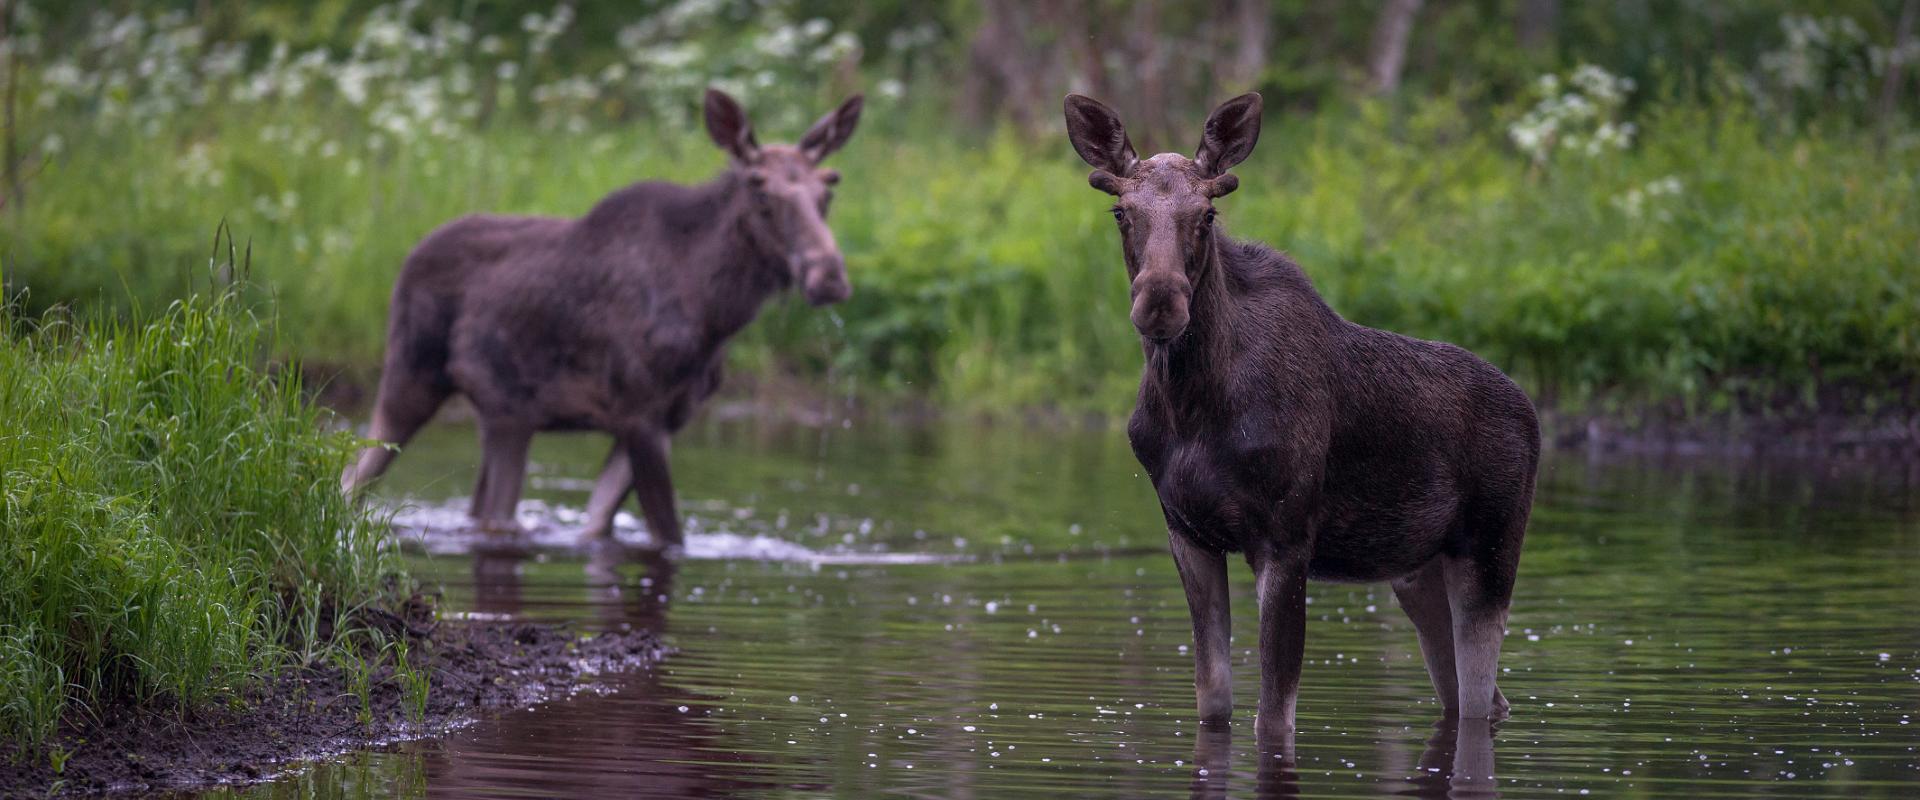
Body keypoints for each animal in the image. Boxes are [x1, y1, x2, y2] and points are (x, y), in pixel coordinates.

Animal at [345, 90, 864, 544]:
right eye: (759, 189)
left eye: (828, 188)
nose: (829, 277)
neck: (716, 313)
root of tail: (407, 260)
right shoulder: (638, 412)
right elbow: (669, 534)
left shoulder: (671, 418)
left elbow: (599, 525)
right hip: (416, 380)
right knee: (357, 478)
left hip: (503, 413)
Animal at [1067, 94, 1543, 740]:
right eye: (1121, 211)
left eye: (1208, 214)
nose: (1160, 299)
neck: (1191, 405)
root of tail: (1533, 415)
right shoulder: (1188, 533)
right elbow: (1213, 701)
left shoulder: (1286, 538)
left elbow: (1274, 716)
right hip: (1417, 572)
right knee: (1484, 699)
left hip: (1492, 551)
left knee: (1477, 696)